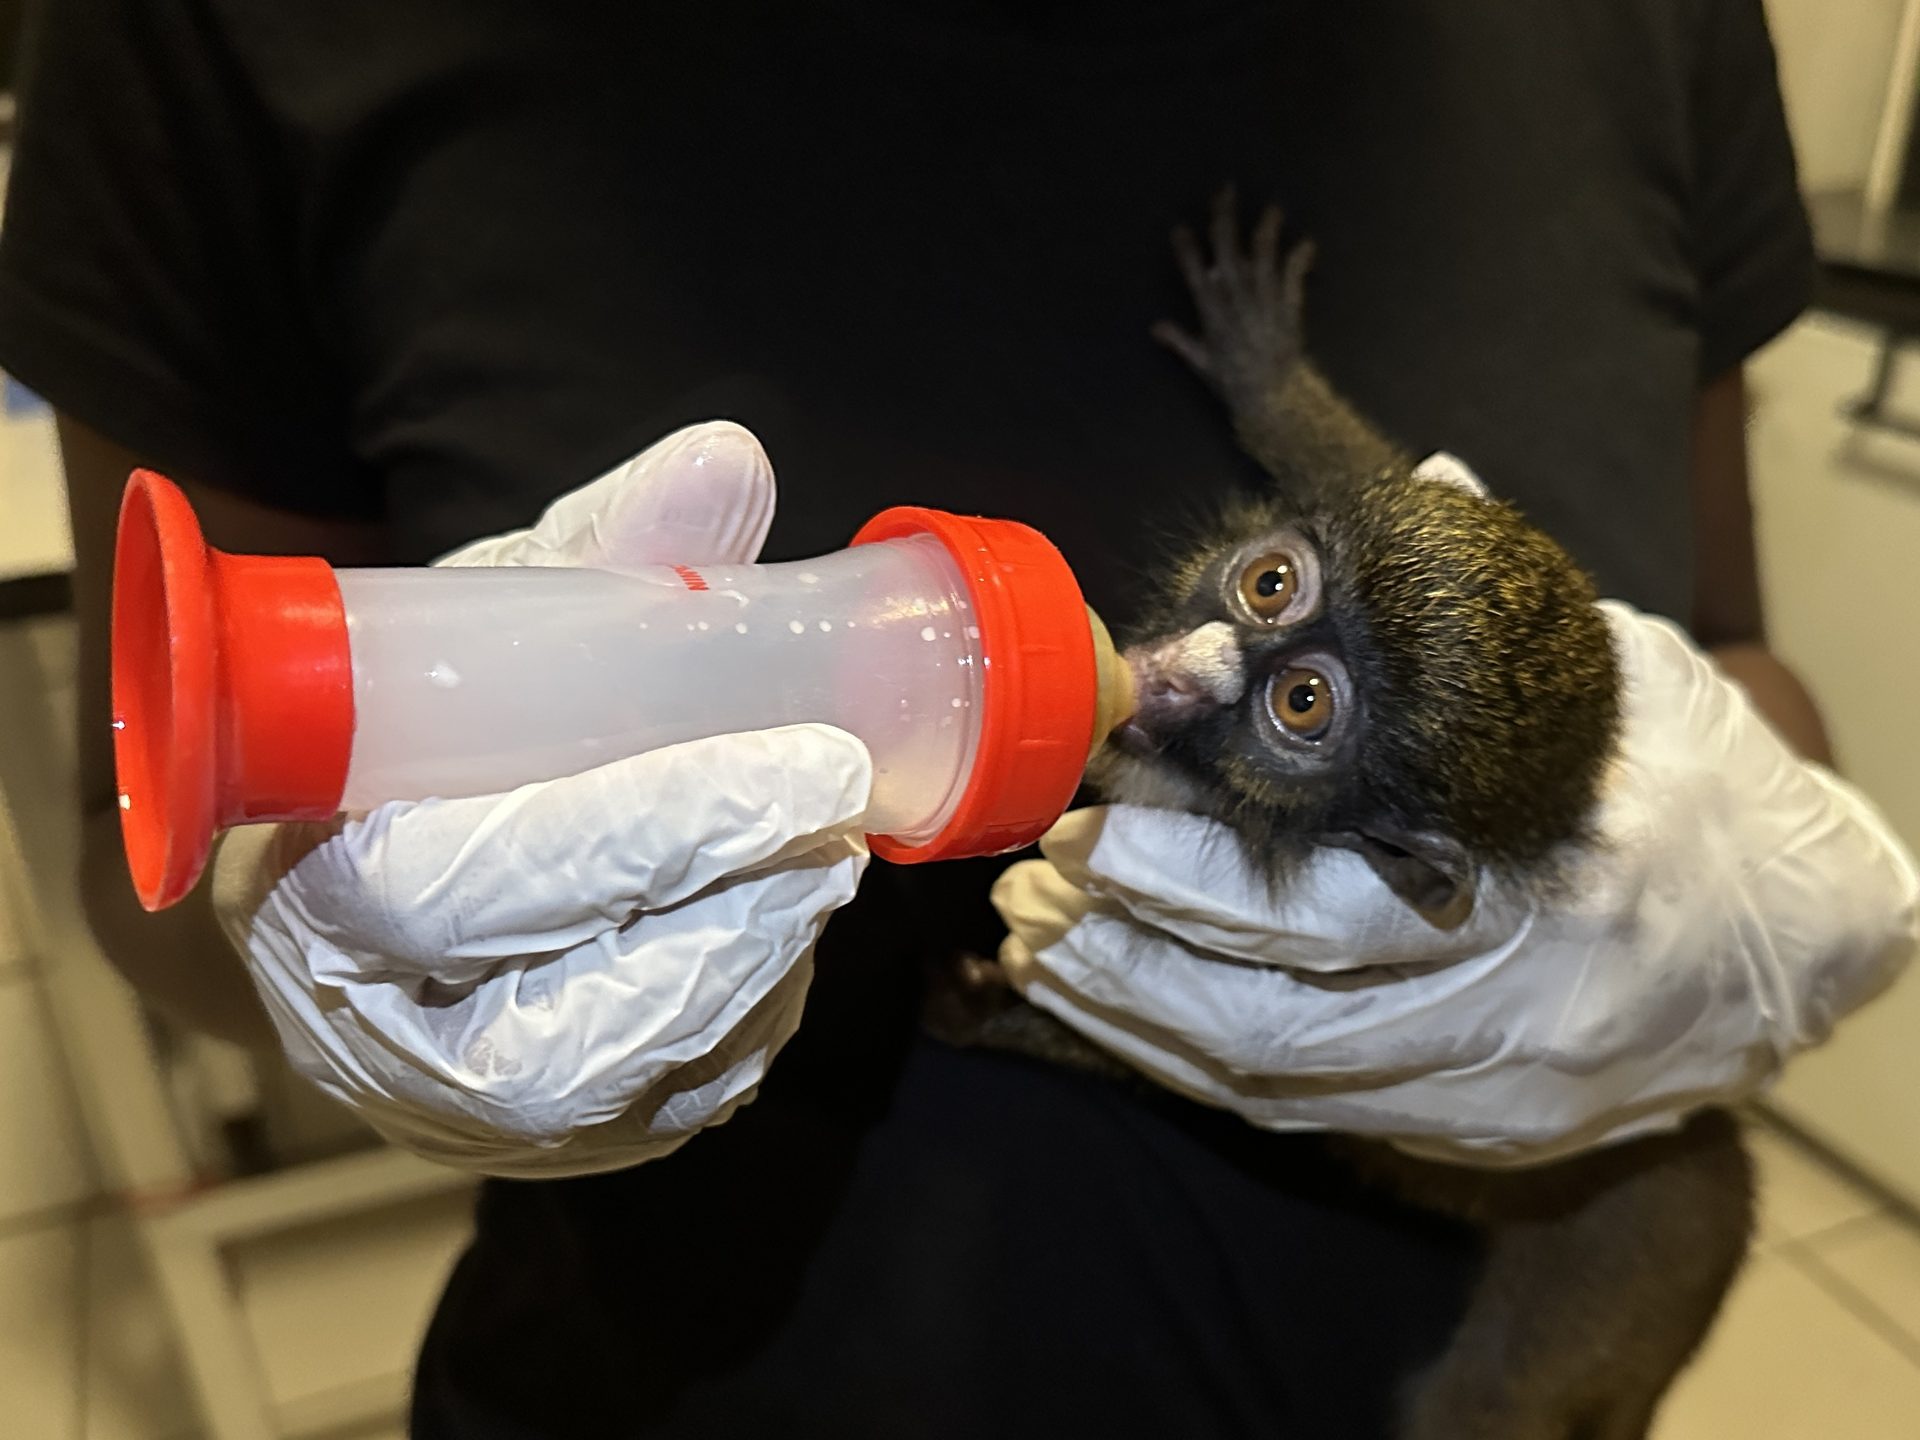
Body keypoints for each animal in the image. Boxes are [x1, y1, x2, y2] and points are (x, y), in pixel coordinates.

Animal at [923, 190, 1753, 1440]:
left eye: (1300, 705)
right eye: (1272, 584)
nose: (1180, 673)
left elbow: (1186, 1066)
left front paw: (983, 1012)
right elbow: (1381, 474)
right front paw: (1269, 371)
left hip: (1621, 1272)